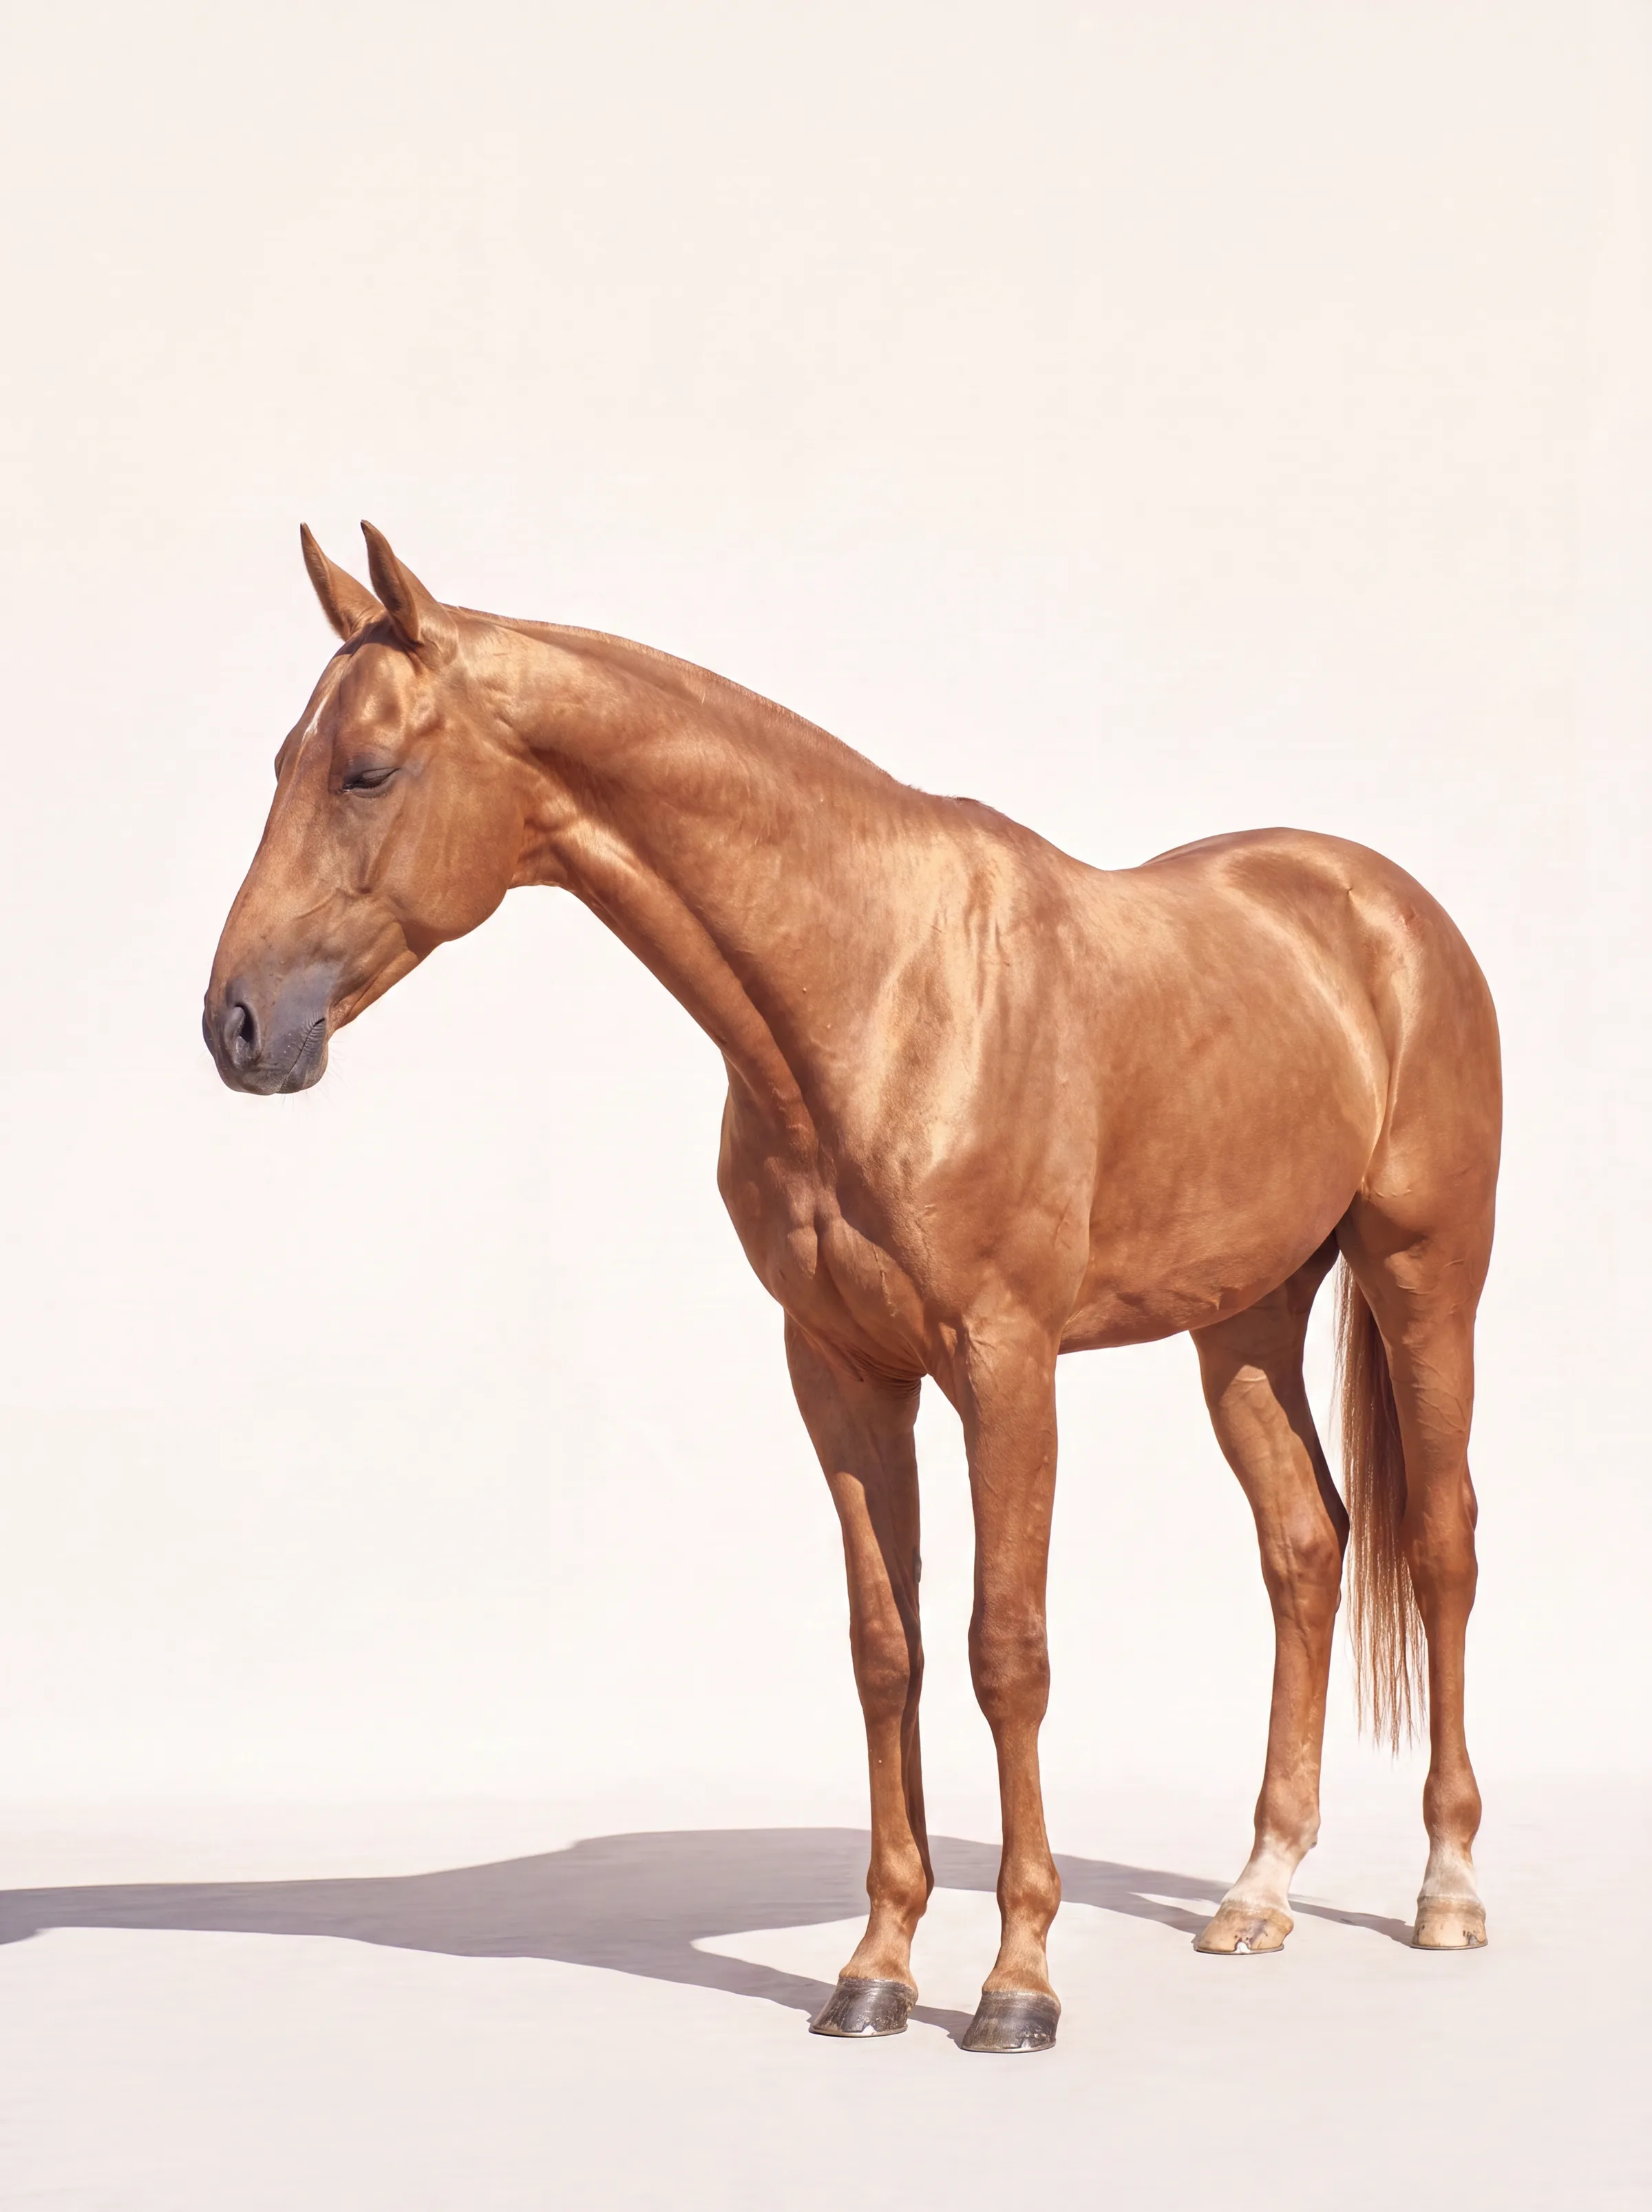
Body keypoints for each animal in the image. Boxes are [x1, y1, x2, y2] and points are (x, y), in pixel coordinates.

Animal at [204, 523, 1500, 2054]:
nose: (237, 1023)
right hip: (1241, 1319)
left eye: (365, 770)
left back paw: (1449, 1888)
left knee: (1442, 1542)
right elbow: (888, 1647)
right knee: (1306, 1542)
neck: (879, 990)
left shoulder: (1005, 1362)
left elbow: (1007, 1646)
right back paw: (1256, 1893)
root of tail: (1386, 907)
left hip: (1425, 1275)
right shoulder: (839, 1366)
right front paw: (876, 1968)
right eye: (283, 761)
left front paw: (1016, 1983)